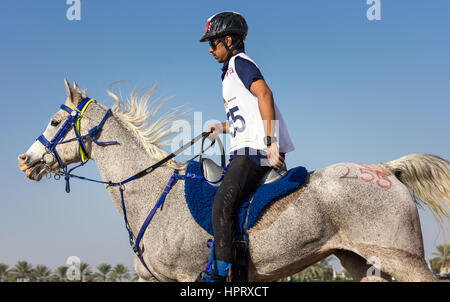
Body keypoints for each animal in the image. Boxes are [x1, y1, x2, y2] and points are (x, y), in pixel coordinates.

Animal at [15, 79, 448, 280]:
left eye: (55, 120)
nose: (25, 161)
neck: (149, 193)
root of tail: (384, 167)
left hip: (403, 260)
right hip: (361, 263)